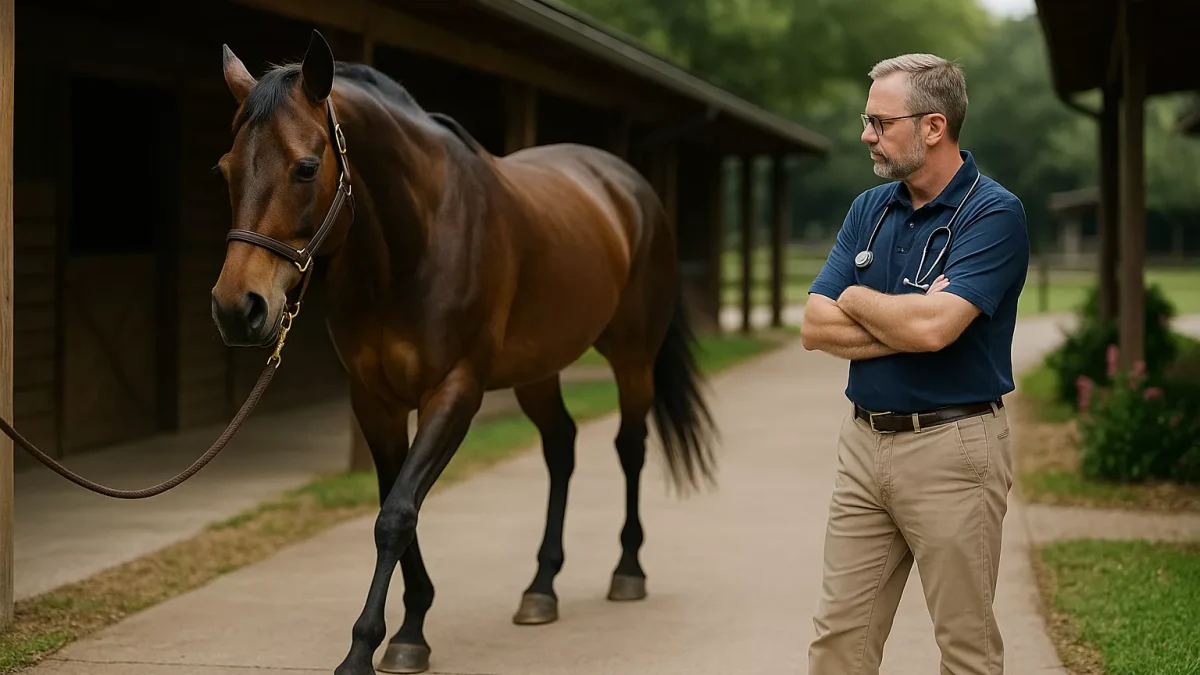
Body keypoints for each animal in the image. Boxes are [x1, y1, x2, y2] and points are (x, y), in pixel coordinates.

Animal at [210, 30, 718, 675]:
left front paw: (367, 647)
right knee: (561, 448)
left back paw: (627, 571)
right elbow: (392, 501)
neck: (412, 244)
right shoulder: (373, 400)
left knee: (630, 447)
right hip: (537, 370)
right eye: (224, 169)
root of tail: (630, 186)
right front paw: (412, 626)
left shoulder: (454, 391)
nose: (237, 308)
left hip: (632, 357)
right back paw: (541, 588)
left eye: (305, 167)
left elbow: (397, 514)